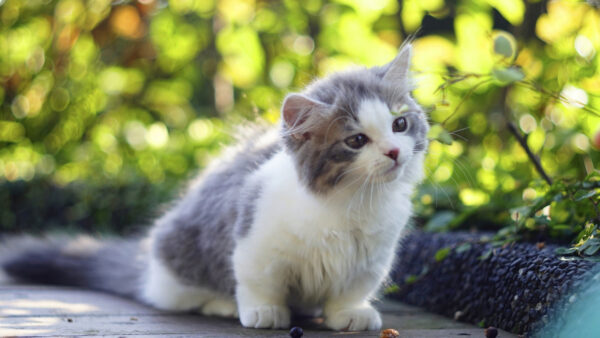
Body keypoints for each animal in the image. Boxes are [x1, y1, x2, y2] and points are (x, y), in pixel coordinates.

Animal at [1, 43, 432, 332]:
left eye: (399, 124)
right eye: (356, 141)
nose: (395, 152)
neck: (352, 203)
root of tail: (147, 265)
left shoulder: (370, 258)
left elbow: (350, 290)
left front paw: (349, 314)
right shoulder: (256, 243)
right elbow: (259, 283)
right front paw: (265, 312)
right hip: (178, 257)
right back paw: (220, 305)